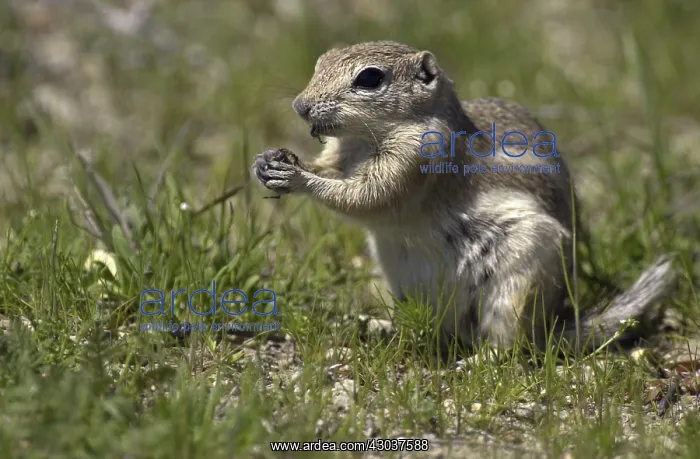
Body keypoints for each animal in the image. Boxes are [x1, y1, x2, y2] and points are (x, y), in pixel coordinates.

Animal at [251, 40, 676, 352]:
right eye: (320, 62)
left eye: (370, 78)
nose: (300, 106)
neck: (364, 138)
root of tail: (552, 330)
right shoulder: (339, 157)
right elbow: (330, 172)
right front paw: (270, 161)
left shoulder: (417, 158)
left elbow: (367, 197)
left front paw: (296, 177)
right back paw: (381, 326)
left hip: (517, 284)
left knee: (509, 345)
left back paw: (474, 361)